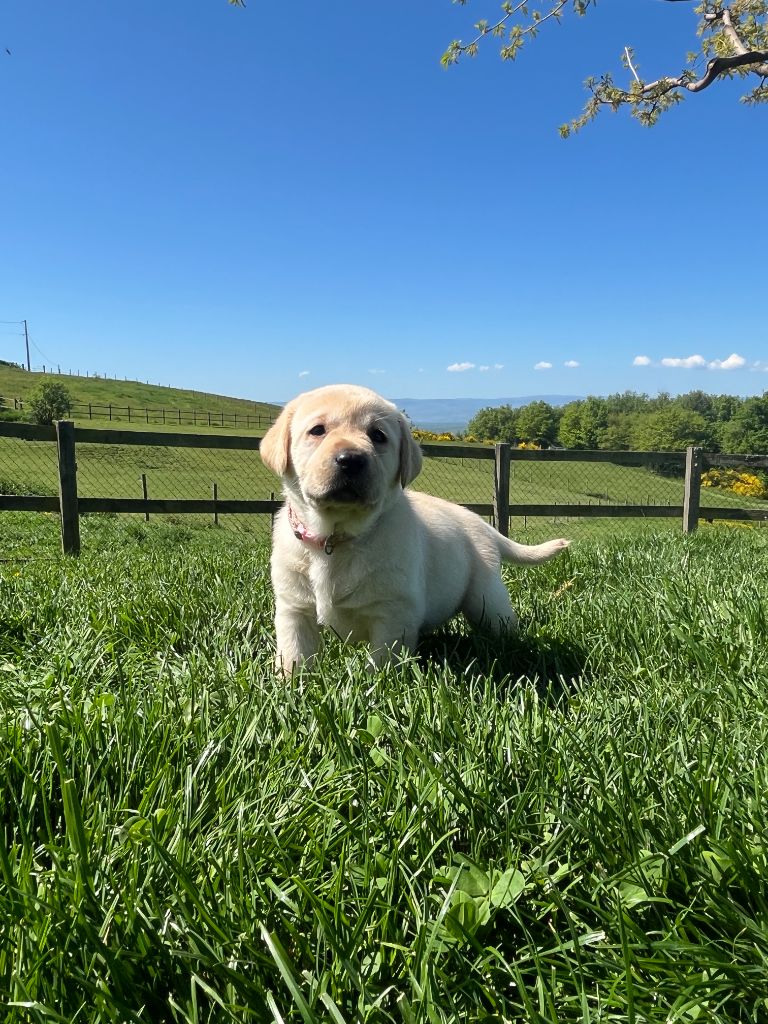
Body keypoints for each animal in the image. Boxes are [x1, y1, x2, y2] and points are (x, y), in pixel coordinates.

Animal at [260, 384, 569, 672]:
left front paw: (377, 682)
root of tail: (480, 522)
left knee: (500, 622)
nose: (351, 459)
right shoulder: (294, 608)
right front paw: (290, 682)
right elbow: (294, 651)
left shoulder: (394, 612)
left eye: (378, 436)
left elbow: (382, 662)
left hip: (485, 598)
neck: (335, 538)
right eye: (317, 430)